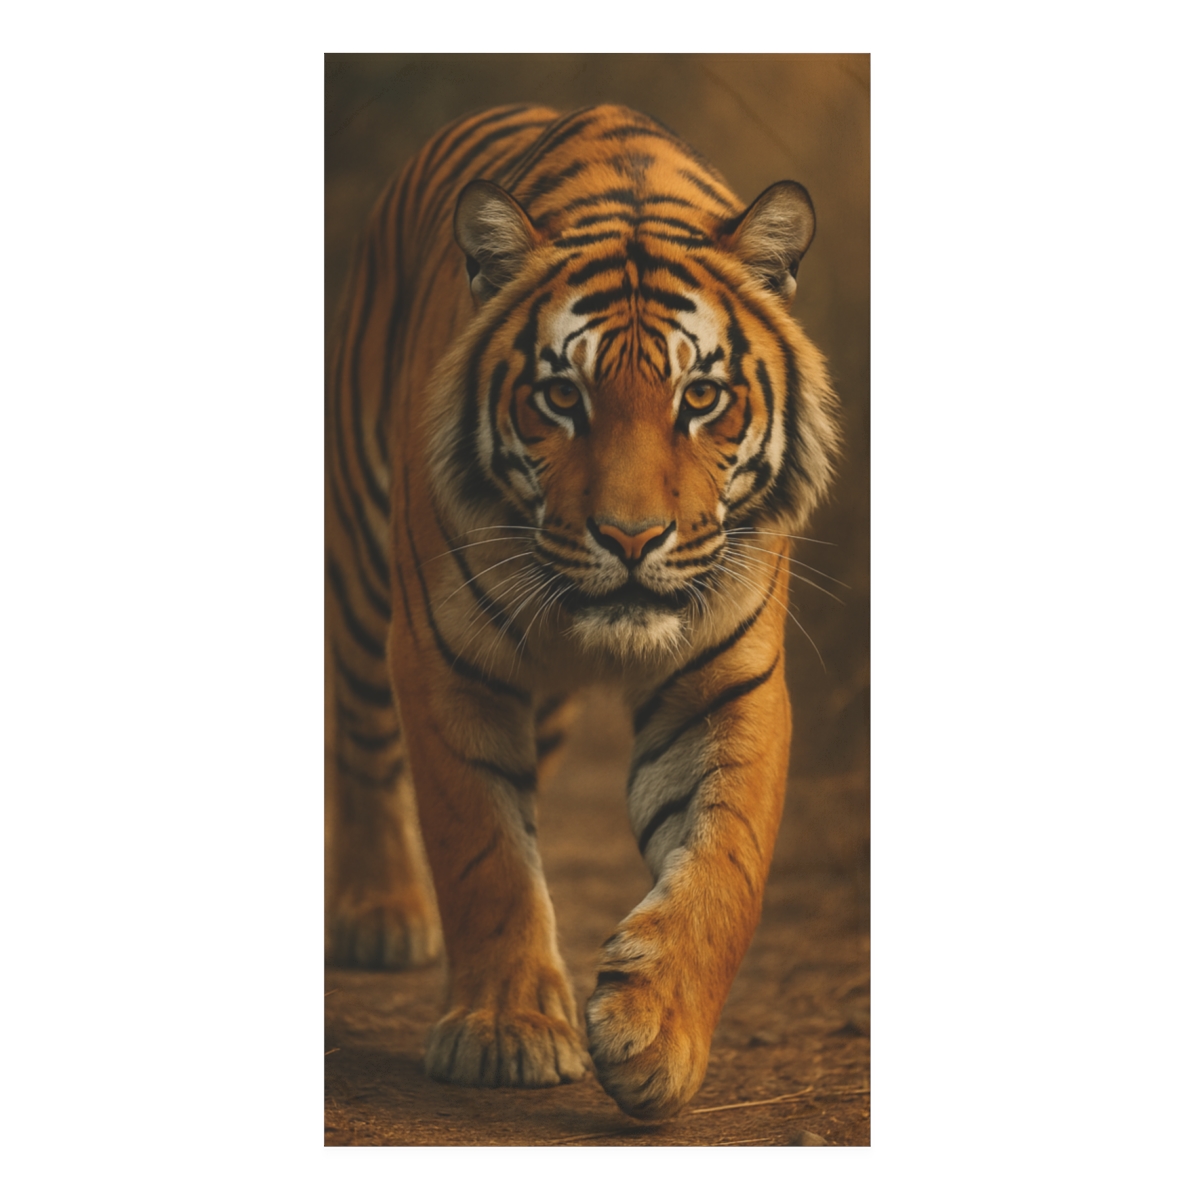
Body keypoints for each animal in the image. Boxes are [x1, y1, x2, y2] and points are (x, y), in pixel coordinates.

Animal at [326, 102, 840, 1121]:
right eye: (561, 396)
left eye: (701, 396)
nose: (632, 538)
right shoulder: (446, 661)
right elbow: (483, 851)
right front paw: (505, 1033)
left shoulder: (731, 683)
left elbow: (725, 861)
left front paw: (655, 1031)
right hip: (365, 580)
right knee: (361, 744)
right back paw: (381, 913)